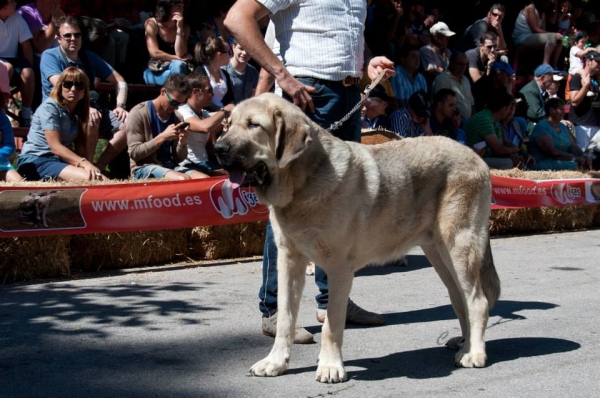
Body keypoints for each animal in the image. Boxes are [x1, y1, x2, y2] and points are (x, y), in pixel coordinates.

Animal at [213, 92, 500, 382]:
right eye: (229, 124)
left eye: (253, 125)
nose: (218, 148)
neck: (303, 182)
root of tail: (476, 157)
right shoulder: (288, 260)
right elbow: (285, 317)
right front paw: (275, 362)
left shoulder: (339, 266)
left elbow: (331, 322)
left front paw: (330, 366)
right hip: (440, 255)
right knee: (460, 298)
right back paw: (464, 343)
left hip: (459, 247)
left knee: (477, 301)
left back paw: (474, 353)